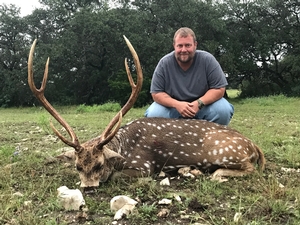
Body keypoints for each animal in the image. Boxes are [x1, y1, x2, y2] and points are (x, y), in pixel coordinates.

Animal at [28, 37, 264, 187]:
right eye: (77, 166)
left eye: (99, 164)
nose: (89, 187)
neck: (122, 149)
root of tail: (254, 145)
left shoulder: (144, 164)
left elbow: (117, 176)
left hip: (226, 152)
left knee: (249, 169)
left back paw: (212, 173)